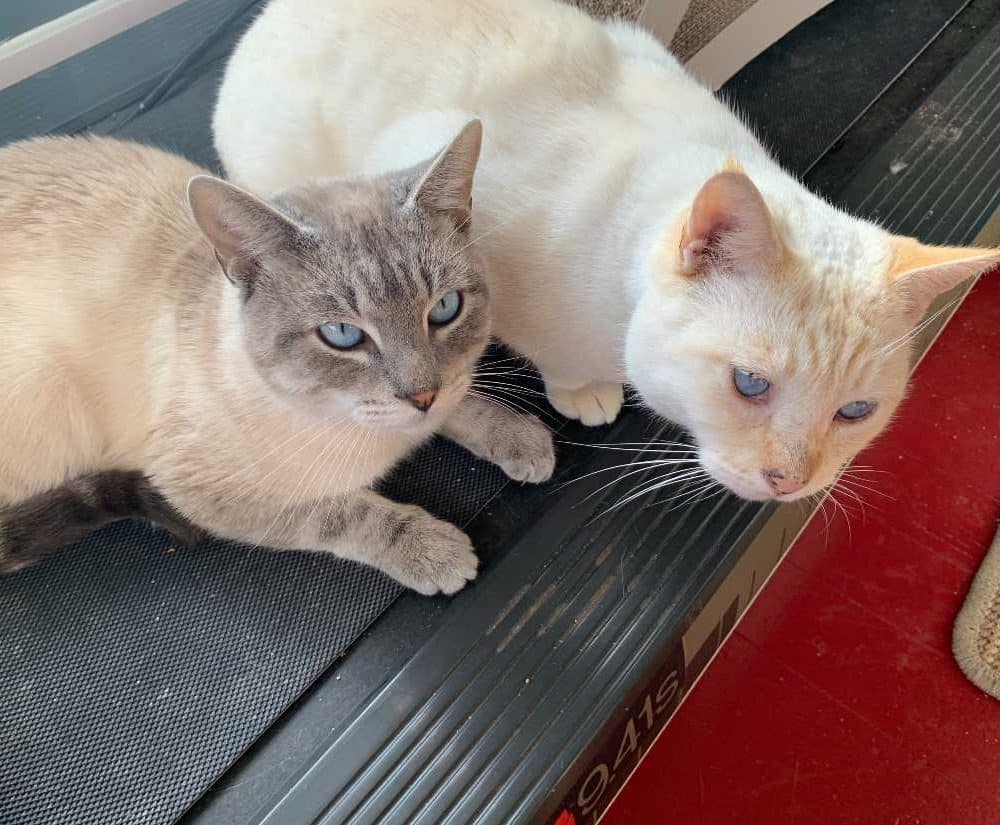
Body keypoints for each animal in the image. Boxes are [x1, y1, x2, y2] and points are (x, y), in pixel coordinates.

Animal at [0, 124, 555, 594]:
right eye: (342, 335)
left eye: (444, 308)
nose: (422, 395)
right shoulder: (201, 490)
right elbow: (344, 514)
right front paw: (435, 551)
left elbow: (462, 403)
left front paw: (520, 438)